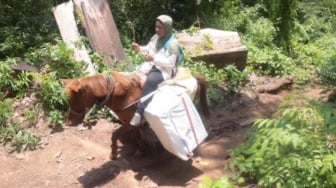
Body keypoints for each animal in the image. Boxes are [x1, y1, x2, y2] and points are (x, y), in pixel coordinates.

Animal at [61, 71, 209, 159]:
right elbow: (138, 135)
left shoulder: (130, 123)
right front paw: (140, 150)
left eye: (74, 99)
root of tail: (193, 77)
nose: (68, 122)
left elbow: (114, 134)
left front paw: (113, 154)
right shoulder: (133, 122)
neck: (121, 95)